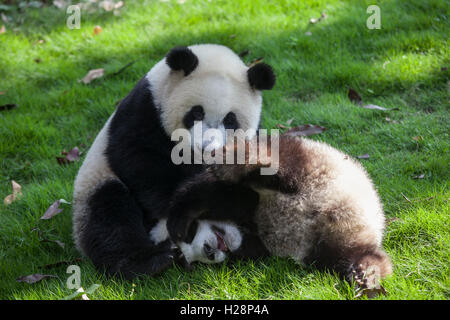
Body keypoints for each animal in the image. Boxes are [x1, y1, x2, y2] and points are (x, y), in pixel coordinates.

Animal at [71, 43, 274, 278]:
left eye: (230, 120)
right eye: (197, 112)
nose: (206, 148)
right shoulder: (146, 109)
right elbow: (138, 157)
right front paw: (178, 205)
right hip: (93, 182)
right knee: (109, 215)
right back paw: (146, 262)